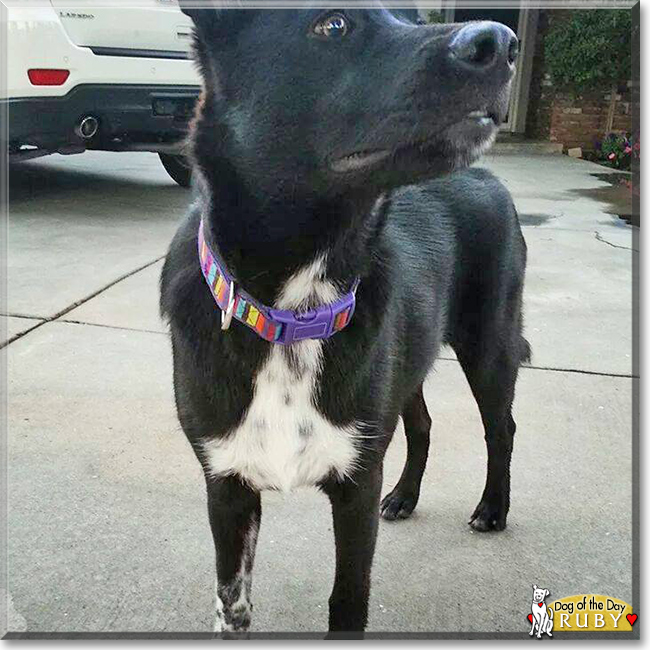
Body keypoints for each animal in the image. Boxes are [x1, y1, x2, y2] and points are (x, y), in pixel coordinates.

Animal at [161, 5, 528, 632]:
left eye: (414, 16)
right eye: (333, 25)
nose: (501, 43)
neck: (294, 313)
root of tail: (485, 177)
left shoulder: (357, 486)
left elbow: (348, 599)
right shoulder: (227, 486)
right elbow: (232, 603)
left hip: (489, 343)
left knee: (500, 428)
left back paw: (492, 508)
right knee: (422, 423)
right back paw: (405, 497)